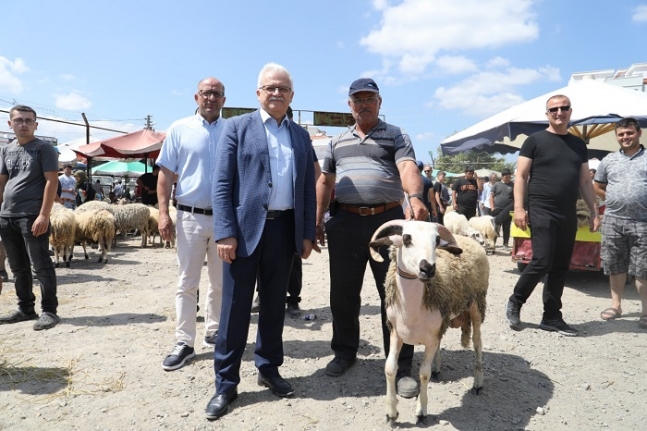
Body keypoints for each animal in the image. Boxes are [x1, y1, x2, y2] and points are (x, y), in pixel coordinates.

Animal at [368, 221, 488, 426]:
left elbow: (423, 374)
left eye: (437, 240)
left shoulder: (430, 339)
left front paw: (421, 412)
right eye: (406, 238)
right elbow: (390, 368)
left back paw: (478, 383)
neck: (412, 309)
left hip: (477, 305)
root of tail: (468, 238)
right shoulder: (396, 333)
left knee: (478, 344)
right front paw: (391, 413)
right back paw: (437, 368)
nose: (428, 269)